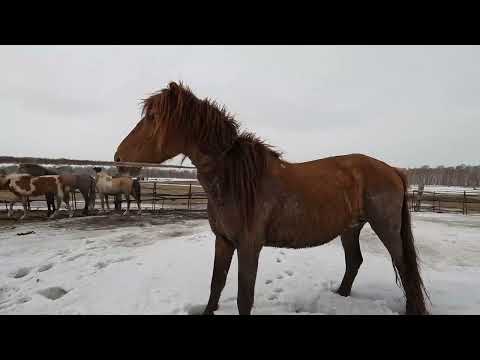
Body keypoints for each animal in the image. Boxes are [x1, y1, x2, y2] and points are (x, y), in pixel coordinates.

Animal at [114, 81, 430, 316]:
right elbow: (216, 285)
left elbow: (244, 296)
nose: (118, 159)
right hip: (350, 228)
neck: (235, 180)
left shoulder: (249, 246)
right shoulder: (223, 241)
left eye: (152, 117)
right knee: (354, 262)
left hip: (385, 227)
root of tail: (393, 170)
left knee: (404, 267)